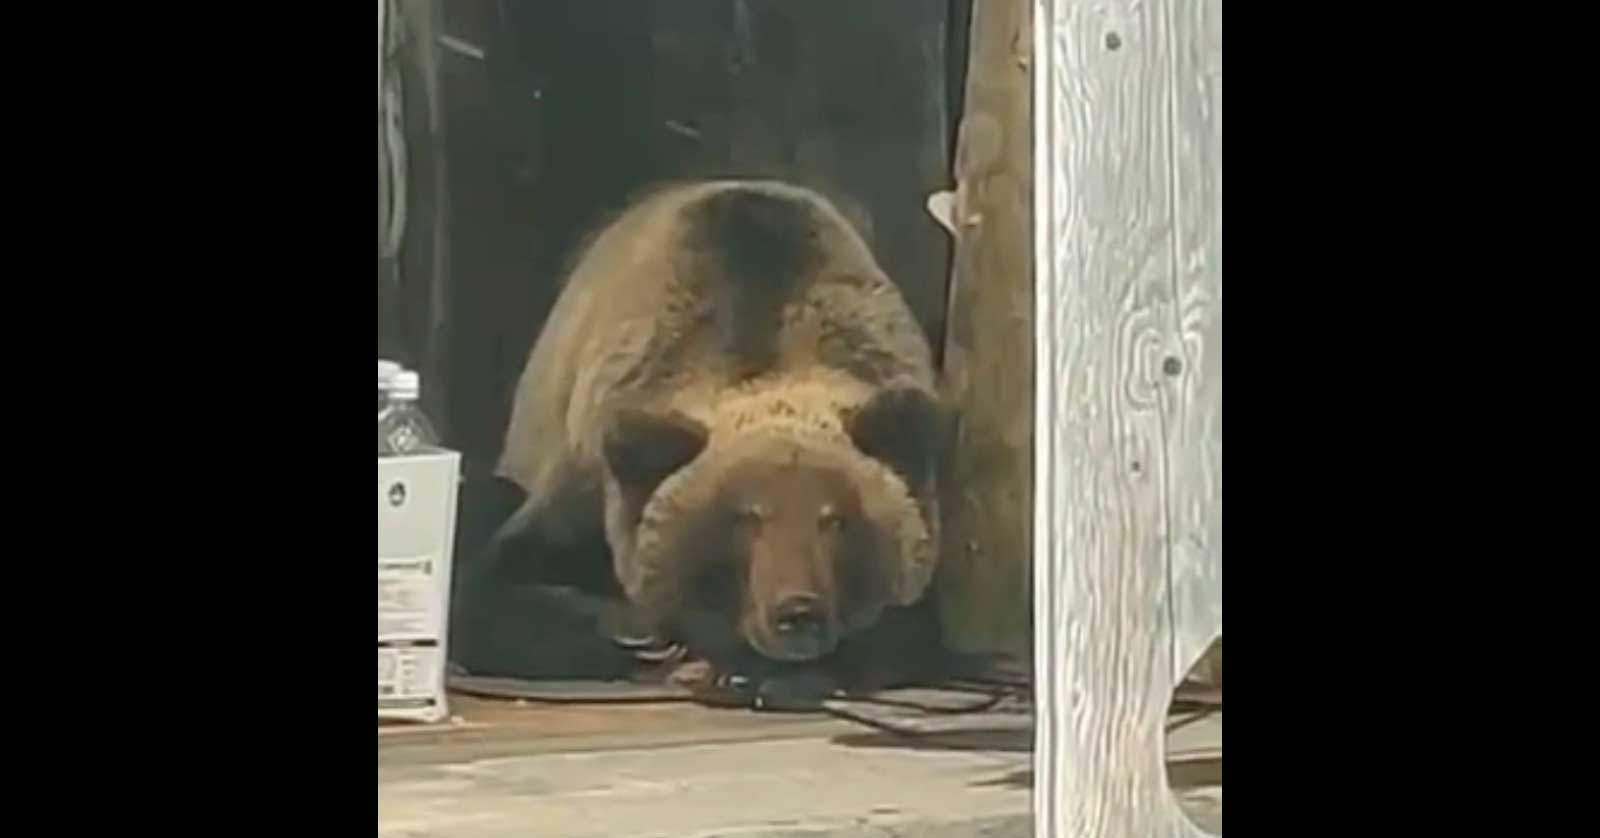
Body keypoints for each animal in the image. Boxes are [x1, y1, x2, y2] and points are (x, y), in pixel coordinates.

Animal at [451, 180, 958, 707]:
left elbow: (905, 628)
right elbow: (495, 588)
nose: (797, 612)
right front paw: (642, 635)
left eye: (834, 519)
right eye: (747, 517)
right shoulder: (592, 475)